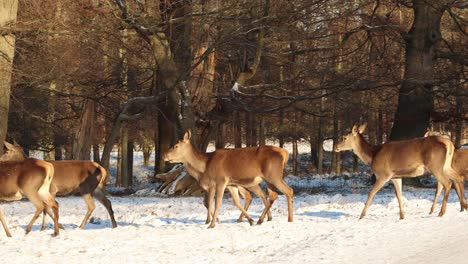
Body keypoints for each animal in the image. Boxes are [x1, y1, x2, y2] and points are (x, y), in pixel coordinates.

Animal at [334, 125, 462, 220]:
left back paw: (442, 212)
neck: (372, 155)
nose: (335, 147)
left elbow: (371, 193)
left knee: (447, 183)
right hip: (445, 166)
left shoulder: (384, 174)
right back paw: (462, 207)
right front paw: (402, 216)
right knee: (457, 178)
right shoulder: (395, 176)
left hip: (435, 166)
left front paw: (361, 216)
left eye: (344, 137)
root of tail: (450, 144)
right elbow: (399, 195)